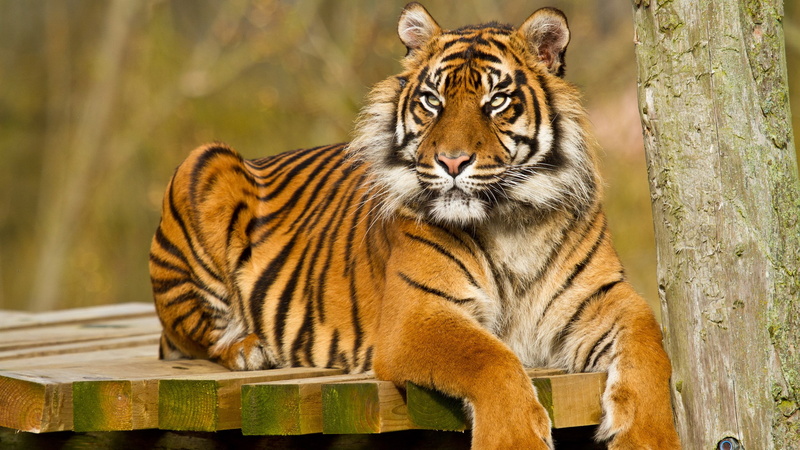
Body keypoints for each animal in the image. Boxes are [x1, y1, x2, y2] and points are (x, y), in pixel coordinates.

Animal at [149, 3, 680, 449]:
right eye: (431, 100)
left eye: (496, 101)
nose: (452, 161)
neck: (511, 221)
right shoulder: (418, 315)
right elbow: (490, 358)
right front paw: (513, 439)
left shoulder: (603, 296)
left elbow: (651, 346)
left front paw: (648, 438)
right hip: (204, 163)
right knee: (195, 334)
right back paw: (249, 350)